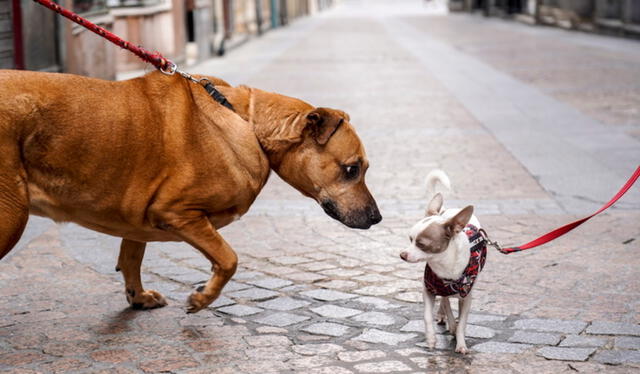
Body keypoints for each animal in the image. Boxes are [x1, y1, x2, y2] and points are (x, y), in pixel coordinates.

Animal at [0, 68, 380, 312]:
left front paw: (138, 297)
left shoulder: (137, 220)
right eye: (351, 169)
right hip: (11, 218)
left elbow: (131, 257)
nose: (377, 218)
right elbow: (228, 259)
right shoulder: (179, 214)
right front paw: (202, 298)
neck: (246, 121)